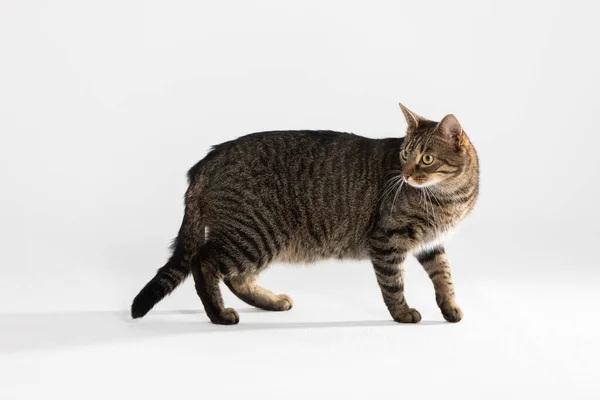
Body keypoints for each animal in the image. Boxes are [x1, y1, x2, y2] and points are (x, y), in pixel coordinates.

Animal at [130, 104, 478, 324]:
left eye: (427, 158)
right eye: (405, 154)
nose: (404, 174)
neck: (450, 197)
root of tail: (205, 161)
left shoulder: (431, 244)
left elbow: (444, 276)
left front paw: (450, 308)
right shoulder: (386, 241)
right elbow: (393, 284)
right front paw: (402, 313)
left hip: (257, 239)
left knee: (234, 276)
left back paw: (271, 302)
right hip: (254, 235)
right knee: (204, 263)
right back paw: (219, 315)